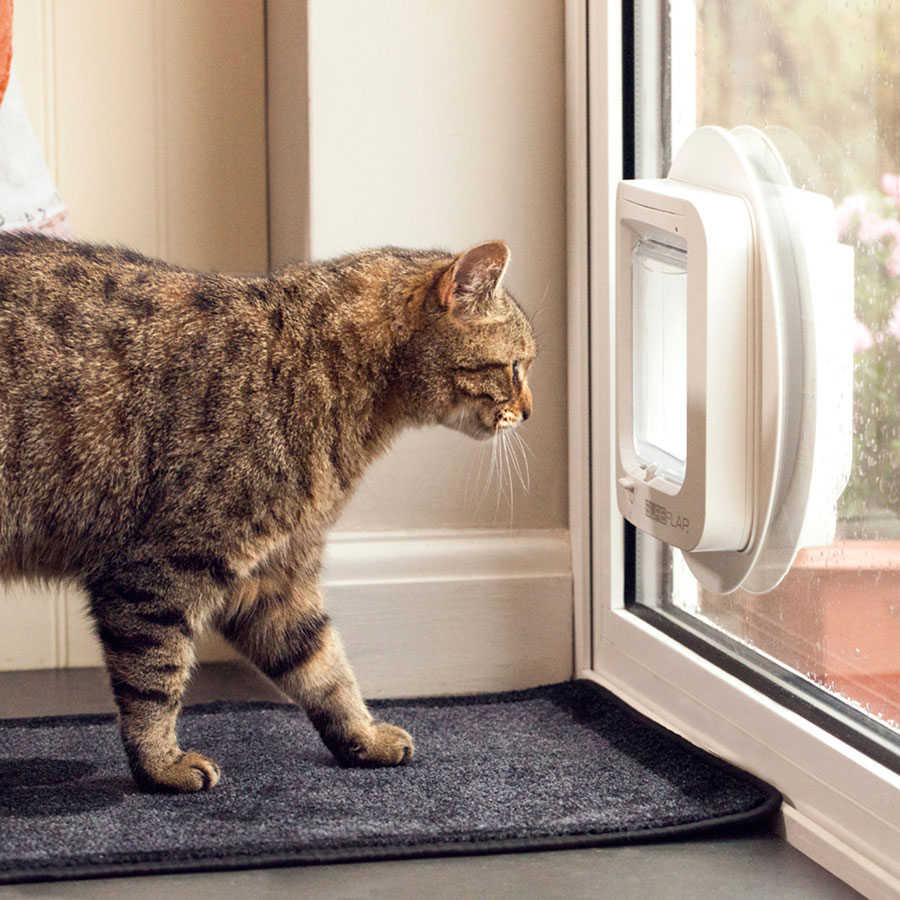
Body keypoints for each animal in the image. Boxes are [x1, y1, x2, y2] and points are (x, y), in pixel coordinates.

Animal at [0, 234, 536, 796]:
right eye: (516, 367)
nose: (531, 411)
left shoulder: (273, 577)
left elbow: (324, 668)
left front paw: (362, 736)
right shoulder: (156, 571)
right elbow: (154, 679)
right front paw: (160, 765)